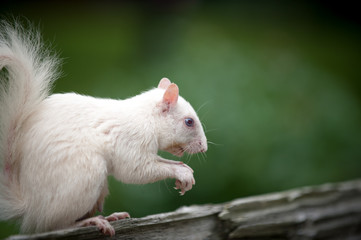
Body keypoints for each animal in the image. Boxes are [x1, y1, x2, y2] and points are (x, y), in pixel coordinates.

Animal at [0, 21, 207, 235]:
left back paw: (109, 216)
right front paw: (181, 172)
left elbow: (161, 161)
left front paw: (184, 170)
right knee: (52, 224)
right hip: (84, 176)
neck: (146, 118)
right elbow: (137, 170)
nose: (204, 147)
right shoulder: (132, 141)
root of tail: (30, 205)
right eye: (189, 121)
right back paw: (89, 222)